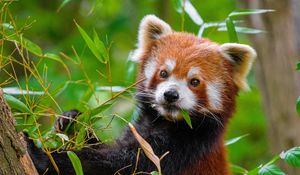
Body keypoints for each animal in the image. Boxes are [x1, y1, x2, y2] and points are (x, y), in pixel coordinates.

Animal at [27, 14, 255, 175]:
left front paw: (42, 156)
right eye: (163, 73)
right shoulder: (139, 131)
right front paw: (72, 121)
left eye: (194, 82)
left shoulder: (180, 150)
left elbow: (115, 165)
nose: (171, 95)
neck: (166, 122)